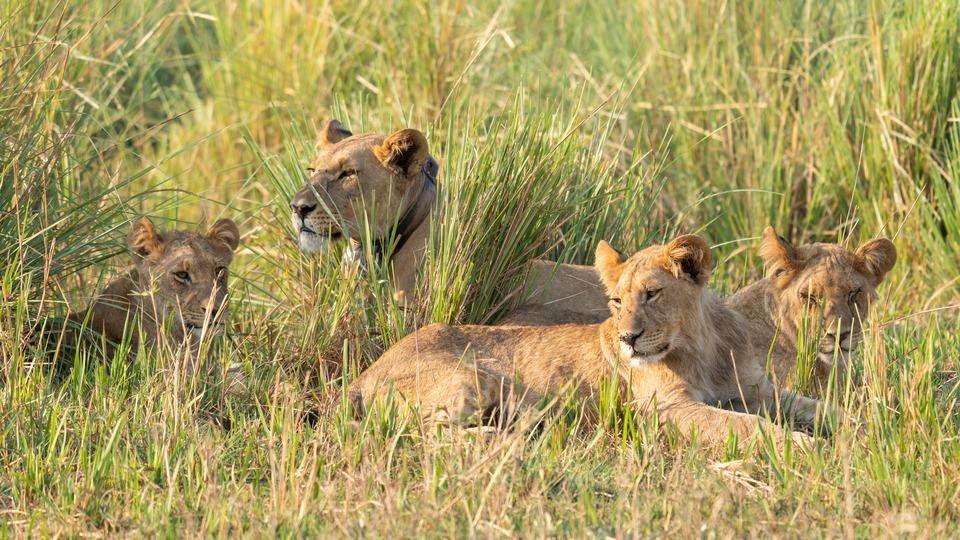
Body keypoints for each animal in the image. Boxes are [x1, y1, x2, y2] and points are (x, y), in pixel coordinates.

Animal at [349, 235, 829, 447]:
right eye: (616, 301)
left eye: (652, 293)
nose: (628, 339)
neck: (702, 347)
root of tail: (364, 373)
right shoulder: (667, 410)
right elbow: (745, 425)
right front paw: (803, 446)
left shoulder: (756, 388)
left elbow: (814, 405)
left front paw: (843, 427)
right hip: (471, 379)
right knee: (425, 432)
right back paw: (507, 434)